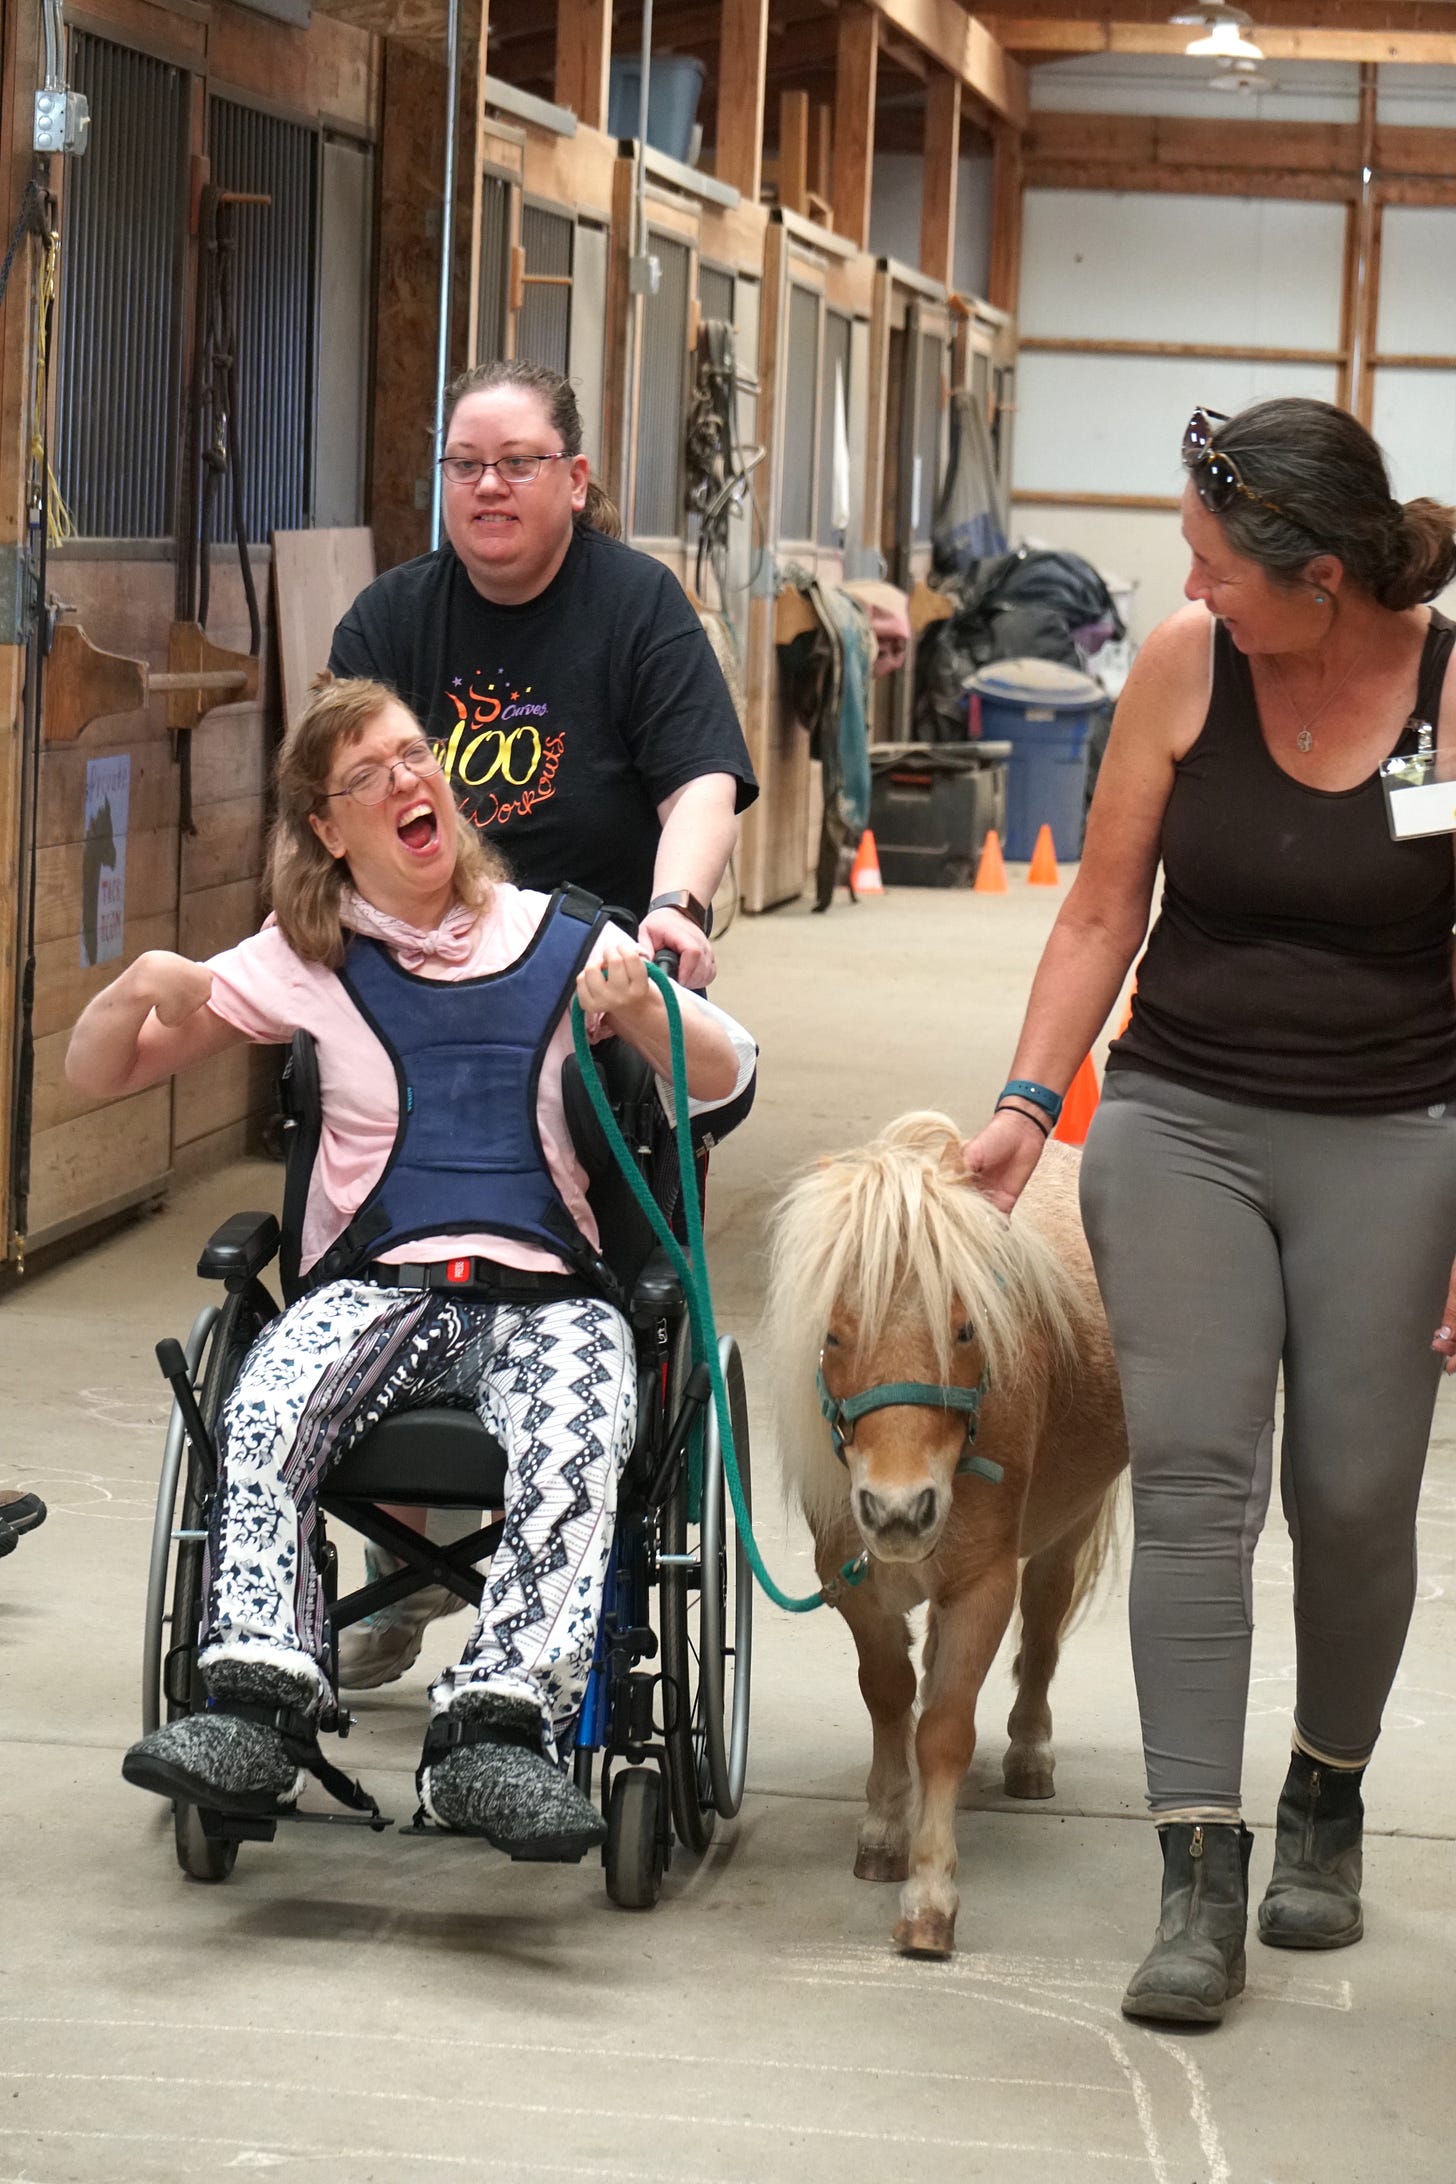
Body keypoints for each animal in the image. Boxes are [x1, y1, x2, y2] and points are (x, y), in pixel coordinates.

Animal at [772, 1118, 1126, 1956]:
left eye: (965, 1330)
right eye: (834, 1336)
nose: (900, 1511)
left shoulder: (981, 1585)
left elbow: (943, 1728)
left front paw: (930, 1896)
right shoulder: (852, 1582)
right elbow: (889, 1694)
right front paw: (883, 1826)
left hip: (1067, 1530)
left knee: (1044, 1630)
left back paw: (1030, 1751)